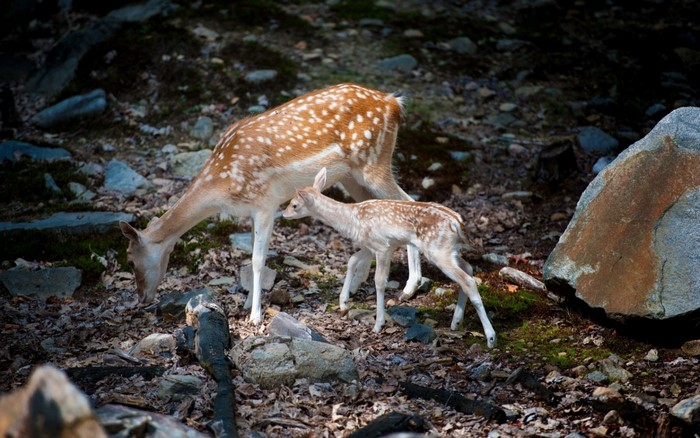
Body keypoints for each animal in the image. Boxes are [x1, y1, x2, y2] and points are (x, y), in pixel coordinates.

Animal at [119, 83, 423, 326]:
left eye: (130, 260)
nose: (142, 299)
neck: (222, 184)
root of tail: (395, 103)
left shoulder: (266, 202)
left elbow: (257, 260)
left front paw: (254, 316)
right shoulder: (255, 210)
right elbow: (252, 256)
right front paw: (247, 304)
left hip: (374, 161)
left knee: (408, 201)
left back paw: (410, 287)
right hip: (352, 176)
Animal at [283, 168, 497, 348]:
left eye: (294, 204)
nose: (284, 214)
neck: (352, 220)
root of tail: (457, 223)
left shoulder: (383, 246)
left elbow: (379, 281)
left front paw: (378, 324)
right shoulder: (370, 246)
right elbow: (352, 260)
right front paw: (343, 304)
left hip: (438, 250)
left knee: (468, 280)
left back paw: (491, 338)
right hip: (449, 250)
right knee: (468, 270)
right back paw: (456, 322)